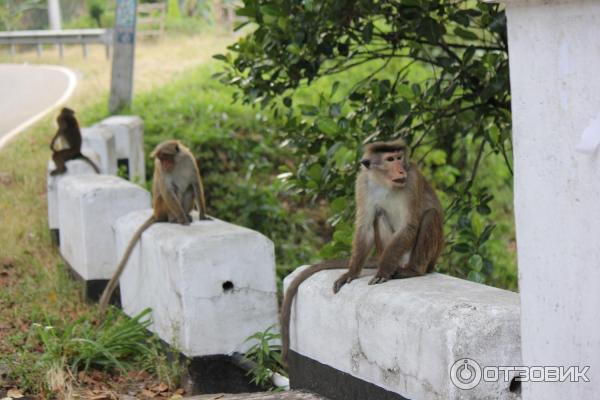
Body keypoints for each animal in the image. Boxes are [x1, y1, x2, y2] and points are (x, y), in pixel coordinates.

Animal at [98, 141, 209, 312]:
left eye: (166, 157)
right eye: (160, 159)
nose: (165, 164)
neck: (176, 163)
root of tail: (156, 213)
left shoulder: (188, 159)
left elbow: (195, 183)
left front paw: (202, 215)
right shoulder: (161, 170)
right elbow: (168, 190)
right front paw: (183, 220)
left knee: (189, 187)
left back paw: (187, 214)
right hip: (162, 207)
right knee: (169, 193)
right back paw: (175, 218)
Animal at [278, 138, 442, 362]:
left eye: (399, 158)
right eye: (390, 159)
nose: (401, 169)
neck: (384, 182)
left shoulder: (413, 179)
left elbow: (409, 226)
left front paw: (382, 271)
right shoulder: (363, 183)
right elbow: (364, 226)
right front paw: (351, 272)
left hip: (427, 256)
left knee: (429, 216)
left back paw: (411, 269)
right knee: (379, 214)